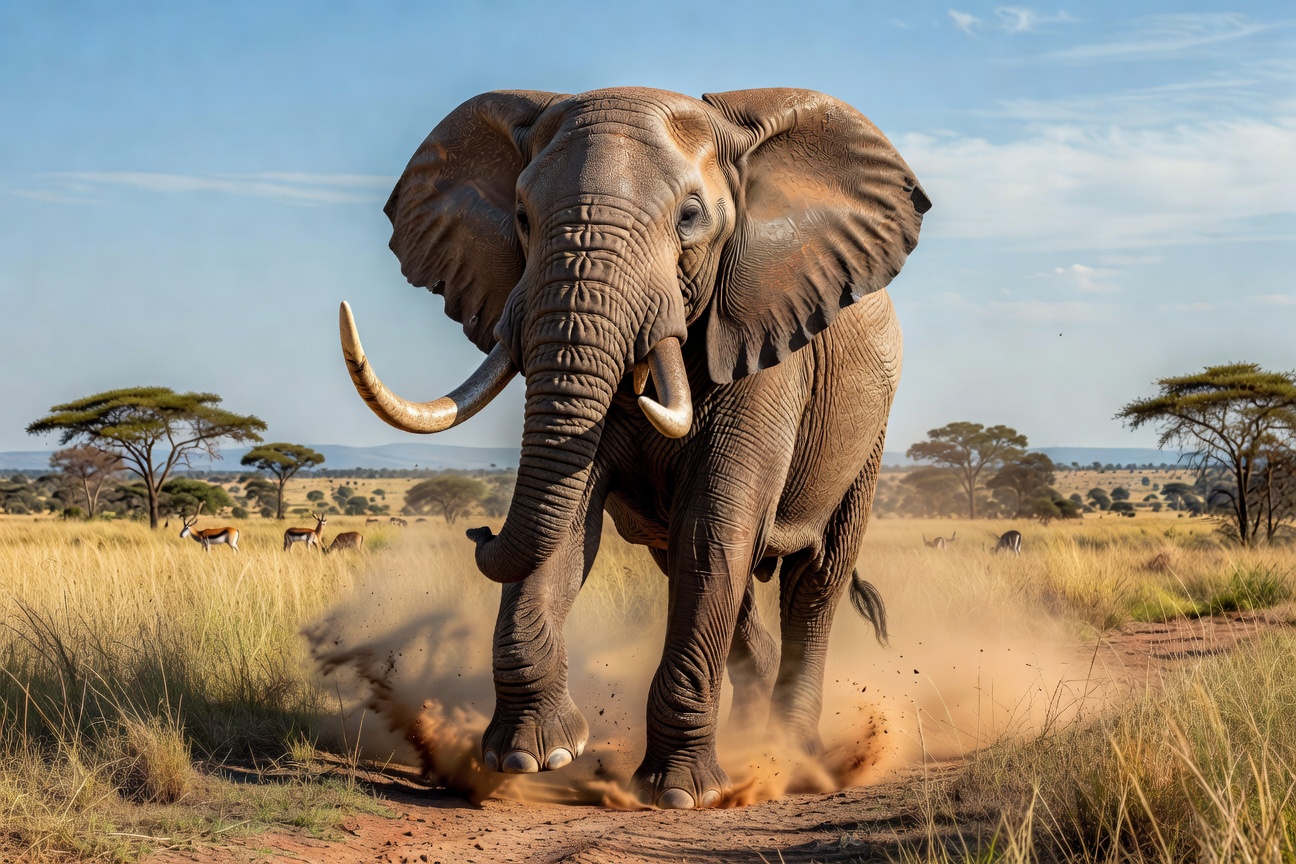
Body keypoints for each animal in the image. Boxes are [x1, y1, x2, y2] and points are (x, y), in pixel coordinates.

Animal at [338, 87, 929, 809]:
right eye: (521, 217)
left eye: (691, 216)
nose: (478, 531)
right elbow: (571, 520)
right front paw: (530, 757)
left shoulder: (762, 343)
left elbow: (713, 529)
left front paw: (679, 795)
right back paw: (753, 741)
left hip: (869, 429)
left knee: (813, 583)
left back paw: (790, 758)